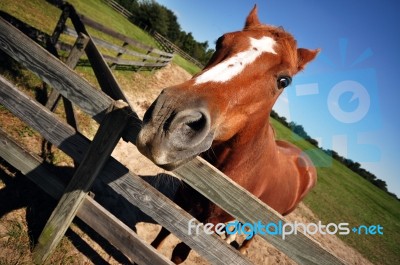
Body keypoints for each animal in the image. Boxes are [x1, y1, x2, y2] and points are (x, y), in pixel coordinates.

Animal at [138, 5, 318, 262]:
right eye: (220, 41)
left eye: (284, 80)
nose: (168, 118)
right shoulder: (183, 199)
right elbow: (162, 233)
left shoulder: (210, 224)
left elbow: (180, 253)